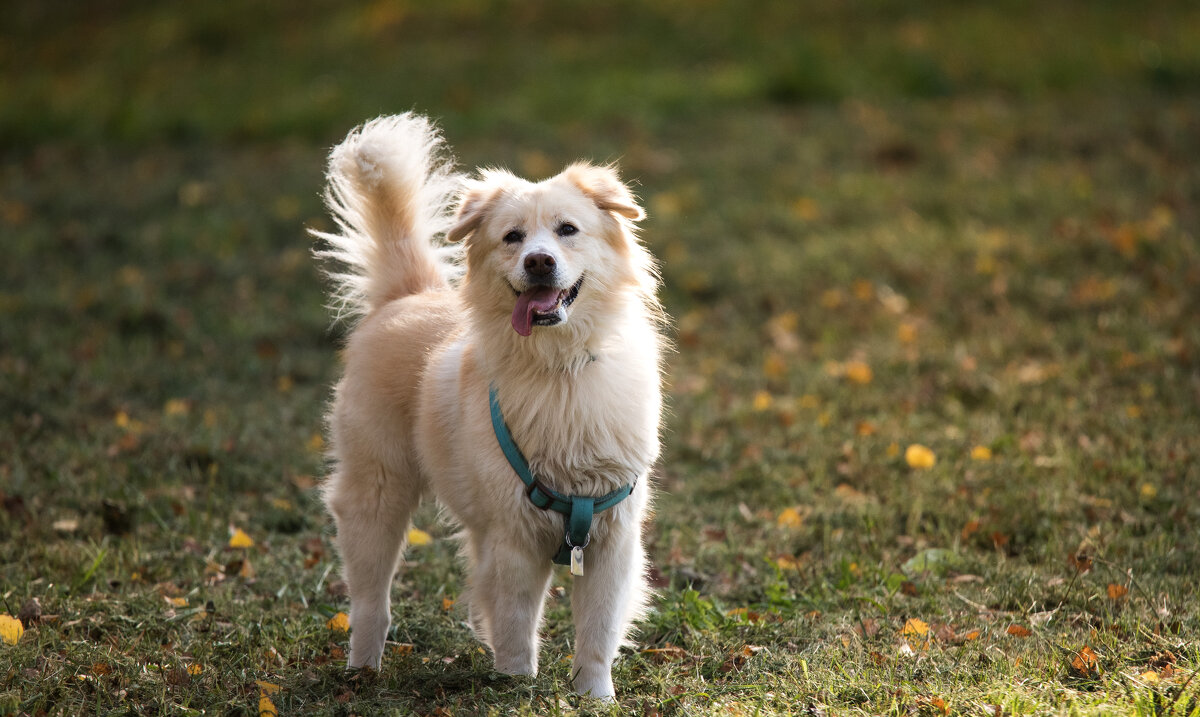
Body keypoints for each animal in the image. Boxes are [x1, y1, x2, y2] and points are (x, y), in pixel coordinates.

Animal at [309, 113, 667, 700]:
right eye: (512, 237)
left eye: (567, 230)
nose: (539, 261)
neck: (557, 368)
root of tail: (406, 294)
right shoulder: (515, 539)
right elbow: (519, 624)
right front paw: (517, 686)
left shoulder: (610, 540)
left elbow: (597, 630)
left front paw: (594, 695)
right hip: (376, 496)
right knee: (370, 603)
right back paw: (363, 670)